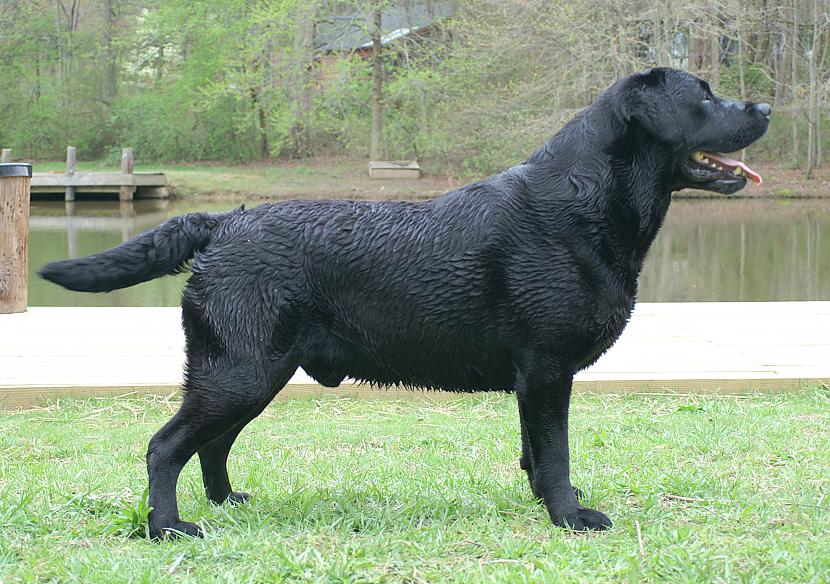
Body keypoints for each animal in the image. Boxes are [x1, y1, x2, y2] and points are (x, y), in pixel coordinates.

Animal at [42, 68, 772, 540]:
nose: (764, 107)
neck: (585, 203)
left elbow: (535, 455)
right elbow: (556, 451)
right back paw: (169, 527)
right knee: (165, 446)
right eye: (706, 96)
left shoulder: (533, 378)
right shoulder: (547, 369)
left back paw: (228, 503)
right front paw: (571, 517)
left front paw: (549, 501)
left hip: (249, 373)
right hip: (239, 371)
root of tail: (224, 222)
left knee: (212, 445)